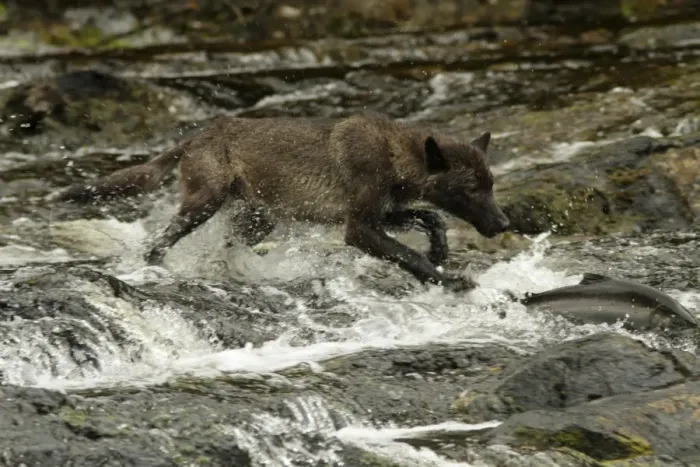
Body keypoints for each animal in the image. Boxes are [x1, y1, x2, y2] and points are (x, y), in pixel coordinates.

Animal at [57, 114, 510, 291]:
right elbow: (408, 255)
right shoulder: (358, 229)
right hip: (205, 204)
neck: (394, 154)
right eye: (472, 190)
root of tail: (199, 135)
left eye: (490, 185)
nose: (505, 224)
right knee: (158, 243)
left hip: (258, 221)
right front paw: (451, 281)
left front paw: (440, 251)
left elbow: (431, 218)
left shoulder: (385, 213)